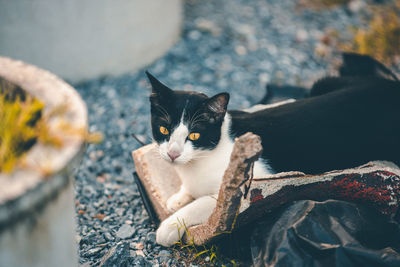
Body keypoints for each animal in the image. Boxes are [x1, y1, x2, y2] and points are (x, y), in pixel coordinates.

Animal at [148, 53, 400, 248]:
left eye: (194, 135)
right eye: (163, 129)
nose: (172, 154)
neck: (204, 157)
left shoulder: (249, 185)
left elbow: (203, 203)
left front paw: (169, 226)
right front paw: (178, 197)